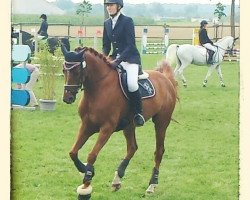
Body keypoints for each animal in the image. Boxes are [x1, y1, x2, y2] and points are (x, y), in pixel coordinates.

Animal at [60, 46, 178, 199]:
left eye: (77, 71)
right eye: (64, 70)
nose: (67, 98)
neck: (98, 87)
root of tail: (165, 79)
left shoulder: (107, 128)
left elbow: (92, 155)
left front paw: (86, 183)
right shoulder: (87, 125)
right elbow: (73, 152)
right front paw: (84, 169)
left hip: (161, 122)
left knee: (159, 151)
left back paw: (152, 185)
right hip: (129, 125)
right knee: (132, 148)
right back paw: (117, 179)